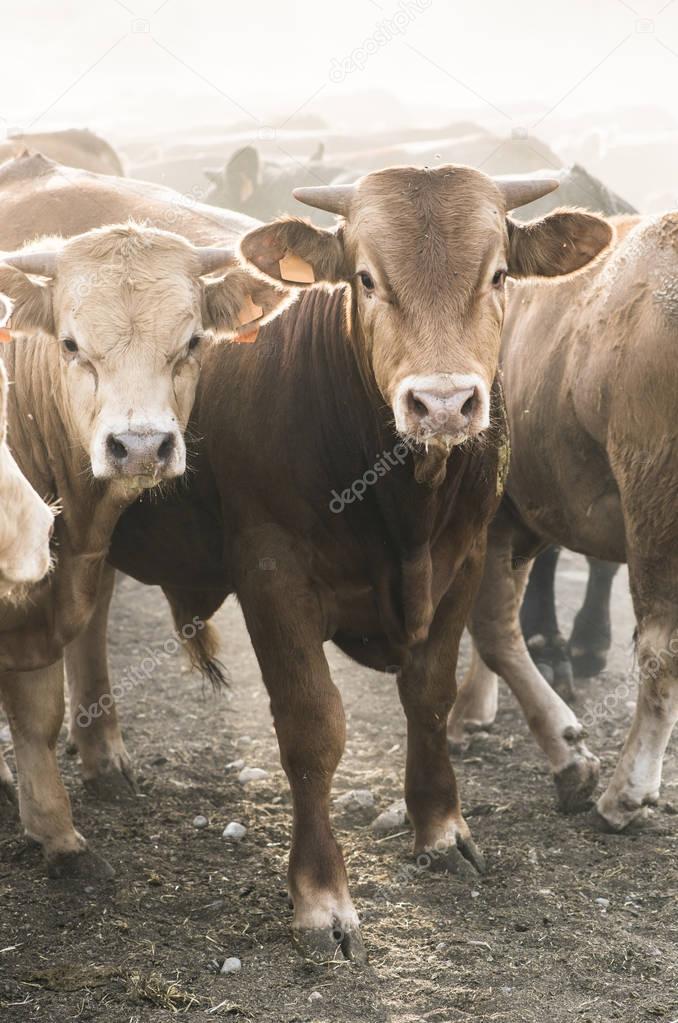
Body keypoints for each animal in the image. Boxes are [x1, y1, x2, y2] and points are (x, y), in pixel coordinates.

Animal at [64, 165, 611, 958]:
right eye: (365, 278)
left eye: (500, 274)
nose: (442, 403)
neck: (407, 505)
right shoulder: (271, 573)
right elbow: (312, 727)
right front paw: (322, 896)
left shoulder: (466, 556)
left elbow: (431, 693)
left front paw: (440, 828)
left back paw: (103, 755)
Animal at [448, 211, 678, 834]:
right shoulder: (519, 515)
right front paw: (471, 709)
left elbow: (494, 628)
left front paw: (568, 756)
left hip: (654, 505)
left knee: (660, 650)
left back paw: (626, 792)